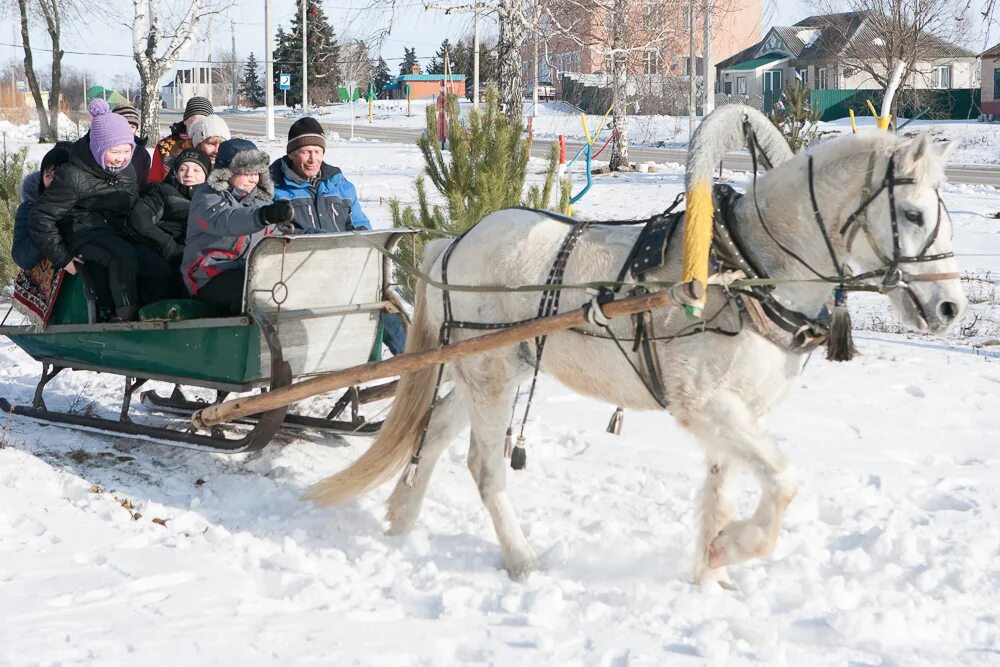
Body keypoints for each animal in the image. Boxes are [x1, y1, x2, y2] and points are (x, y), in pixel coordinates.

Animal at [306, 104, 968, 584]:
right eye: (912, 214)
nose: (950, 308)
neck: (744, 270)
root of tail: (456, 240)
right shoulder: (705, 405)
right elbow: (782, 482)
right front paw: (733, 548)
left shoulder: (735, 415)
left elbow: (719, 494)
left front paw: (709, 575)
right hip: (491, 376)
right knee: (484, 466)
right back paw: (521, 561)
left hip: (490, 366)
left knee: (437, 429)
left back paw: (400, 519)